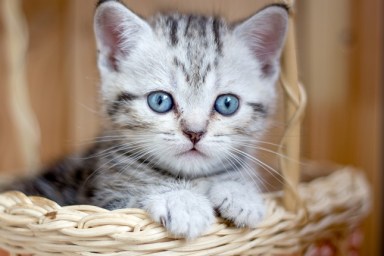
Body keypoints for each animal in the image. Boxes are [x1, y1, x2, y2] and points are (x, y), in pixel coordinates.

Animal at [0, 0, 288, 240]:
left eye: (227, 104)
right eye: (159, 101)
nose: (194, 132)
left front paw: (241, 193)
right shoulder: (103, 203)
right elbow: (134, 194)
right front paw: (182, 201)